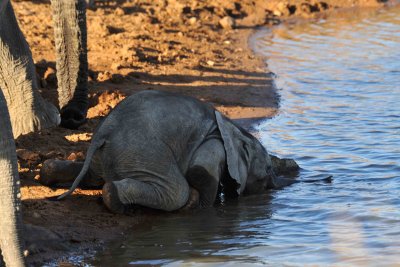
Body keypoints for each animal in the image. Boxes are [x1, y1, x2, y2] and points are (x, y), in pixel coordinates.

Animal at [40, 91, 298, 215]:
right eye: (267, 170)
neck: (235, 129)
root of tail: (105, 131)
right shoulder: (213, 144)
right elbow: (199, 172)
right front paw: (203, 209)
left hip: (104, 157)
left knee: (91, 174)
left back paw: (46, 173)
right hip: (142, 152)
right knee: (175, 191)